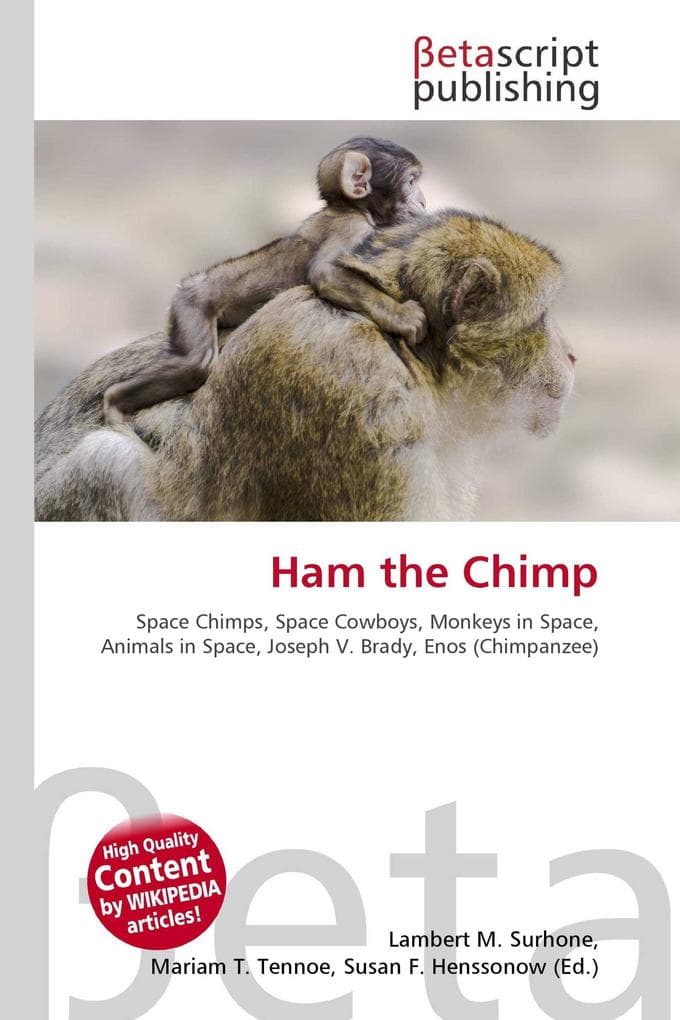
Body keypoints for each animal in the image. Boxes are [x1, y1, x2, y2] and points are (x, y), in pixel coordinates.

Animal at [101, 137, 428, 426]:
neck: (351, 208)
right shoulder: (352, 228)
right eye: (411, 182)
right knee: (193, 365)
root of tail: (190, 283)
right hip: (191, 305)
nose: (424, 201)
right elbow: (325, 274)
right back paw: (114, 402)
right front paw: (403, 316)